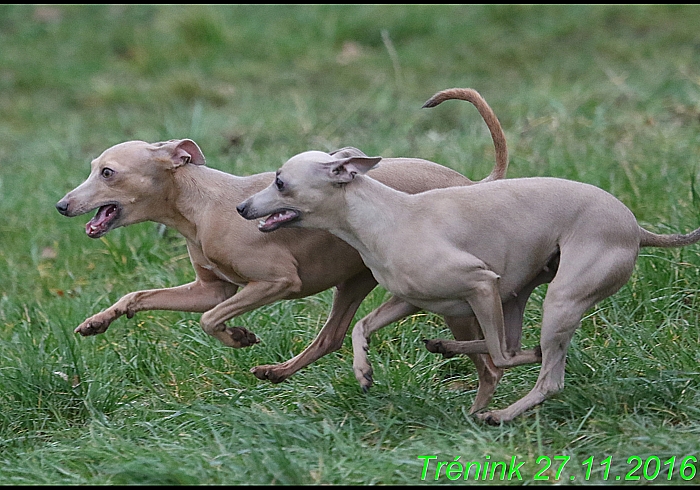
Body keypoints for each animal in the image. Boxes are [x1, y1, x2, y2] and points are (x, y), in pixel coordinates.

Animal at [54, 89, 512, 414]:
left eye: (108, 173)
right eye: (93, 167)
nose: (61, 205)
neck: (200, 206)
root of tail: (470, 182)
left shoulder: (277, 280)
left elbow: (209, 319)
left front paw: (237, 336)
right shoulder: (212, 288)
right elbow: (141, 296)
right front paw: (98, 321)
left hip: (442, 297)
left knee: (487, 357)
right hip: (355, 280)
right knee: (331, 337)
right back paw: (278, 372)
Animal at [238, 91, 700, 422]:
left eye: (279, 182)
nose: (241, 208)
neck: (385, 216)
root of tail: (636, 227)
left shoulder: (481, 282)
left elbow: (500, 356)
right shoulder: (410, 299)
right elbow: (361, 327)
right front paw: (363, 371)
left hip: (560, 298)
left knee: (538, 370)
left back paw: (499, 411)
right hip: (519, 293)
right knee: (514, 345)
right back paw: (451, 349)